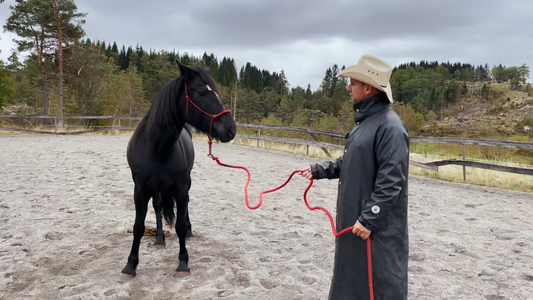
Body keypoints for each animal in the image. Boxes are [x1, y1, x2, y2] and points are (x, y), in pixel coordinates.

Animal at [121, 61, 238, 282]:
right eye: (202, 92)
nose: (231, 129)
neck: (158, 148)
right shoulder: (140, 190)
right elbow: (138, 227)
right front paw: (130, 265)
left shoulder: (181, 189)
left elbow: (181, 226)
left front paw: (183, 263)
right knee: (158, 207)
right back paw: (159, 239)